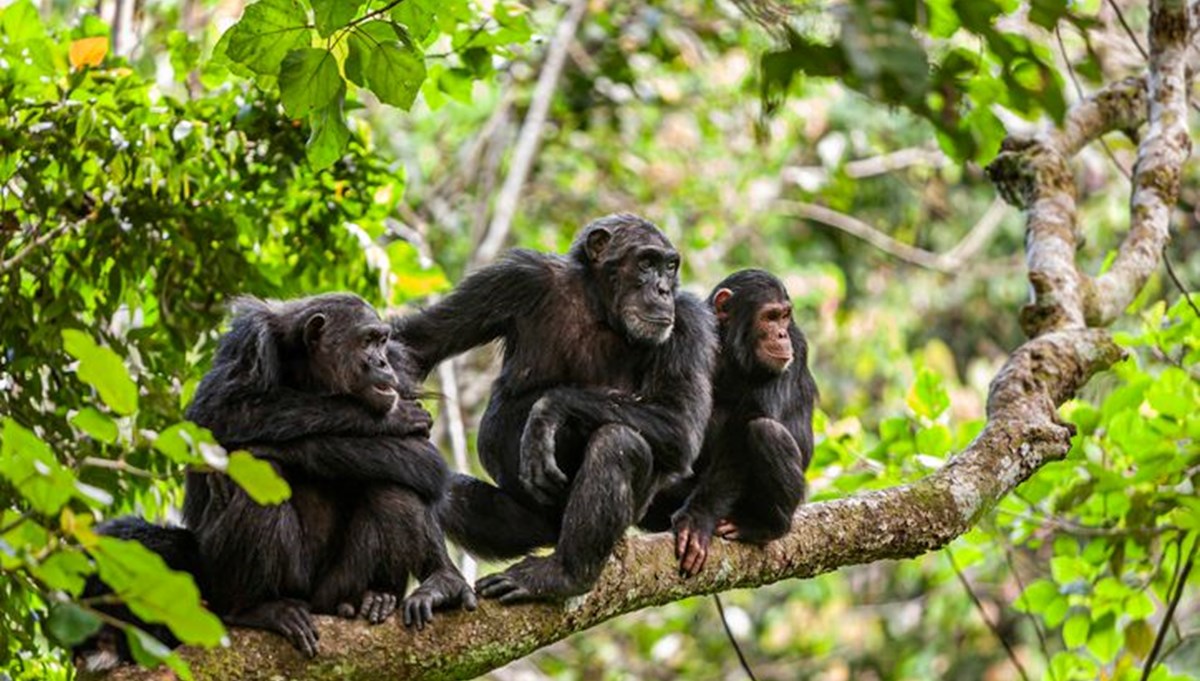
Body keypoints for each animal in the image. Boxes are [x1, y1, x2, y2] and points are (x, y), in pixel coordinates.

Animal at [180, 294, 475, 657]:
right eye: (366, 341)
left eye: (382, 341)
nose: (381, 362)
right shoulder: (249, 342)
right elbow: (217, 414)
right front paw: (391, 417)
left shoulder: (400, 367)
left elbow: (423, 458)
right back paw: (254, 609)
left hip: (335, 590)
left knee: (395, 485)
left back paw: (391, 593)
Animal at [393, 215, 715, 604]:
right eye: (646, 263)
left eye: (670, 266)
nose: (663, 289)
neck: (599, 307)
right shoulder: (514, 278)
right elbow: (417, 344)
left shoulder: (689, 322)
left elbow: (680, 422)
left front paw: (547, 412)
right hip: (527, 525)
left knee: (618, 443)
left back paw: (564, 575)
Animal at [643, 268, 820, 577]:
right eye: (770, 317)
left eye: (785, 316)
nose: (781, 333)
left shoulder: (796, 345)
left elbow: (745, 426)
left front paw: (697, 519)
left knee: (765, 431)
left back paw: (764, 526)